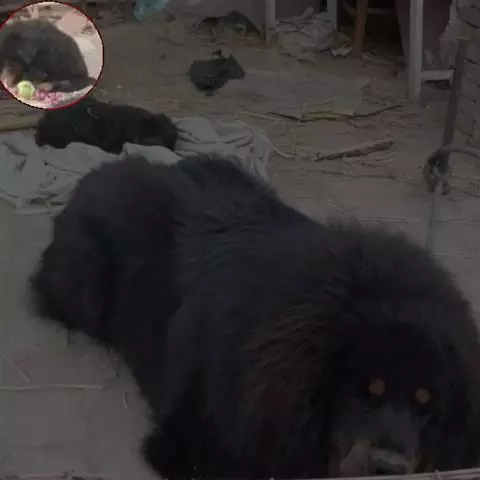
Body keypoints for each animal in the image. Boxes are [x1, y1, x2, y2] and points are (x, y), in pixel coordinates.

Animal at [30, 155, 480, 479]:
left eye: (426, 409)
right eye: (361, 394)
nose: (388, 468)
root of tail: (98, 172)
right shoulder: (192, 443)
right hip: (83, 287)